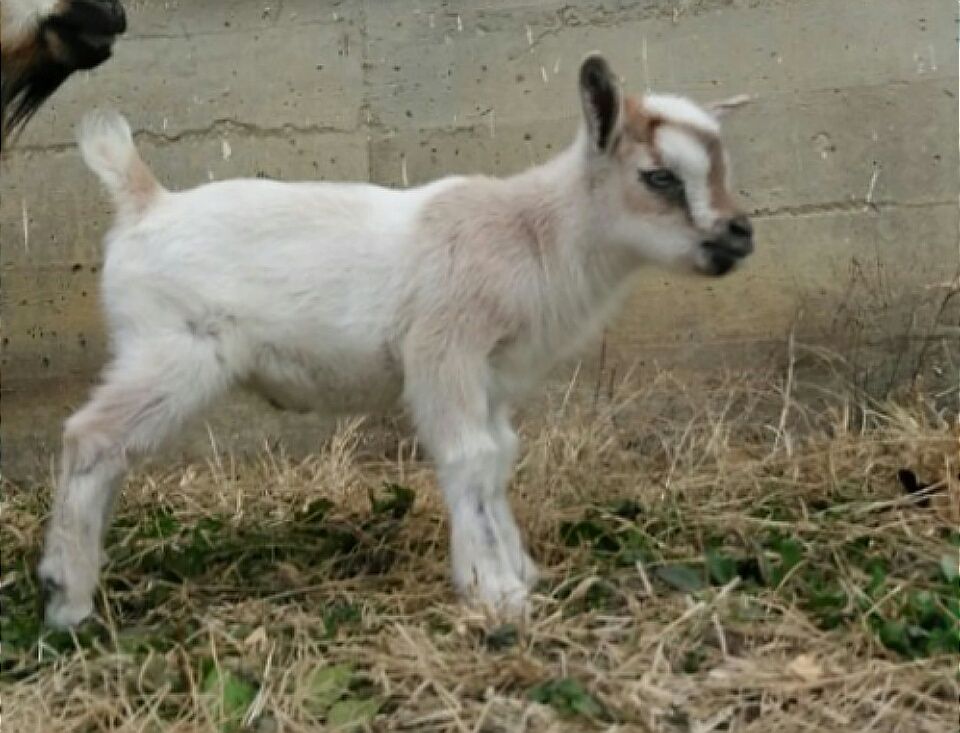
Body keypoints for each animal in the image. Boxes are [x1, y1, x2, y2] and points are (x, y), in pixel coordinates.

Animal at [38, 54, 754, 628]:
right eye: (660, 176)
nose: (740, 233)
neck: (535, 232)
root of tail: (144, 201)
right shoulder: (445, 351)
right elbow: (469, 457)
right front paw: (496, 594)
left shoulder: (492, 375)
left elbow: (499, 455)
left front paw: (517, 570)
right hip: (175, 351)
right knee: (89, 437)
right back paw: (66, 598)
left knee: (106, 453)